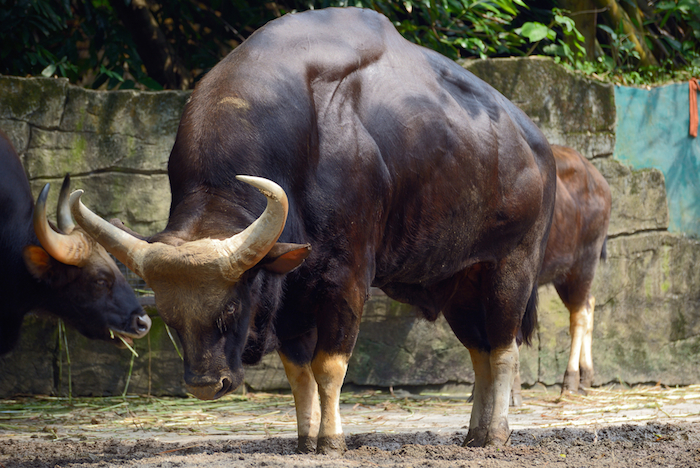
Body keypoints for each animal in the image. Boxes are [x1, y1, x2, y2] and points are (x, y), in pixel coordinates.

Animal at [68, 6, 556, 454]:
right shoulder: (291, 291)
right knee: (479, 352)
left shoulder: (347, 280)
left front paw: (332, 440)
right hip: (458, 282)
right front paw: (305, 439)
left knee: (504, 348)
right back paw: (474, 435)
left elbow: (329, 367)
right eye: (170, 319)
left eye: (231, 308)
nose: (206, 384)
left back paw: (495, 434)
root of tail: (537, 146)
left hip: (511, 266)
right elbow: (298, 372)